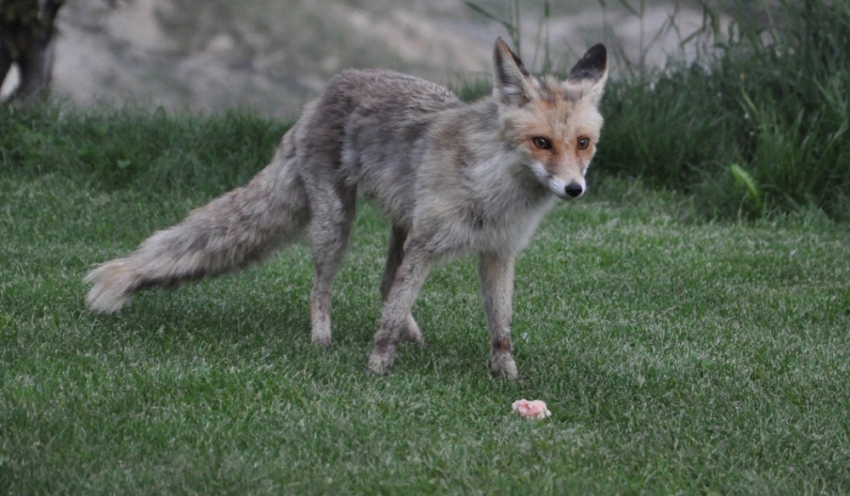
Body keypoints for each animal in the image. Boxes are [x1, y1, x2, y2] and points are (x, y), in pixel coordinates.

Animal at [83, 38, 608, 378]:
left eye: (583, 143)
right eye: (541, 143)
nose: (574, 188)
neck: (494, 191)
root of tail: (325, 93)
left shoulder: (498, 252)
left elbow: (500, 325)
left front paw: (507, 375)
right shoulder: (427, 243)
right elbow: (390, 316)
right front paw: (377, 368)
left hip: (399, 223)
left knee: (384, 282)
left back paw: (414, 337)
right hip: (337, 224)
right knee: (322, 289)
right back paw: (322, 341)